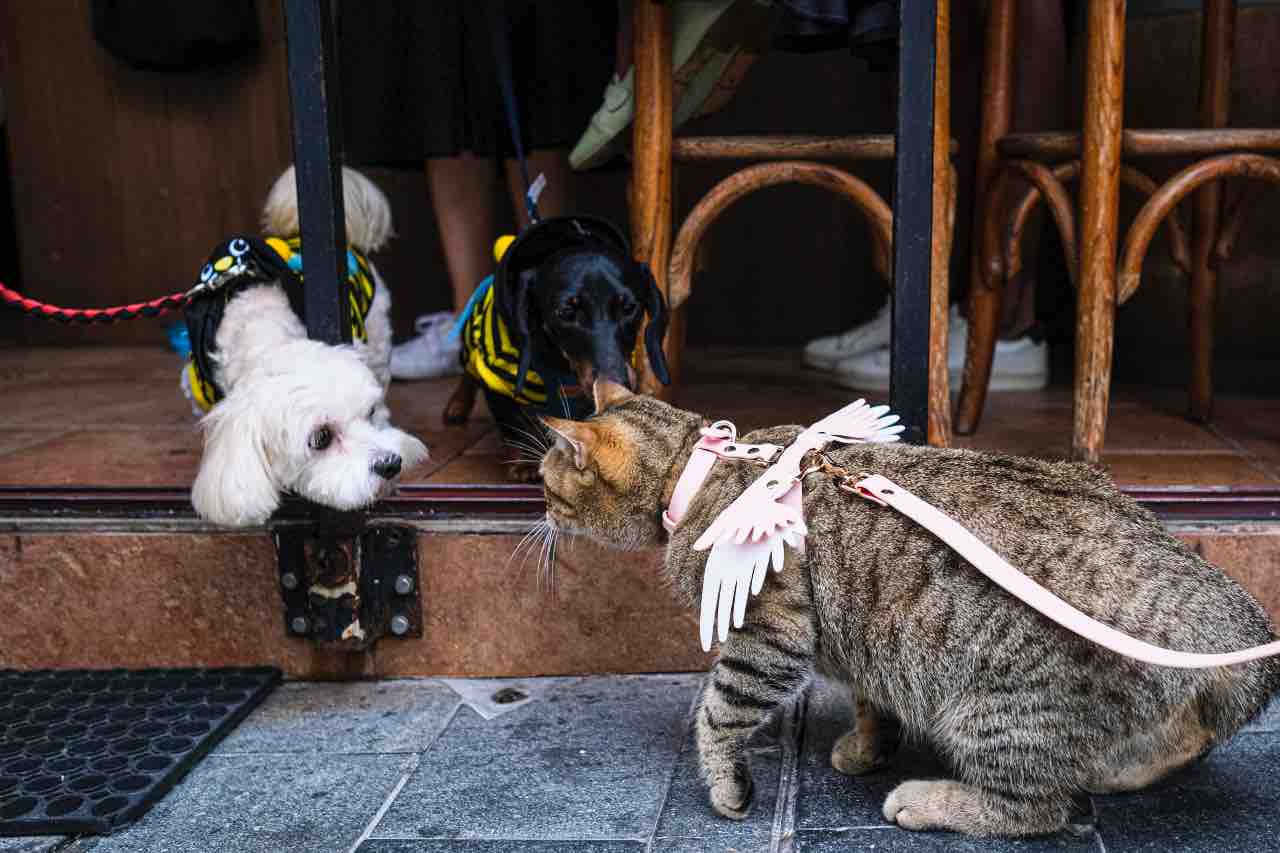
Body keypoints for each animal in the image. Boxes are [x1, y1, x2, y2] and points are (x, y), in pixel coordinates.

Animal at [537, 384, 1280, 835]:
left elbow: (718, 713)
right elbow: (873, 697)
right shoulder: (871, 636)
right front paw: (869, 746)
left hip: (994, 710)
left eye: (545, 482)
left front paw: (726, 788)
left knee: (1036, 806)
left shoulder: (767, 636)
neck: (699, 471)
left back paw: (928, 800)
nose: (539, 510)